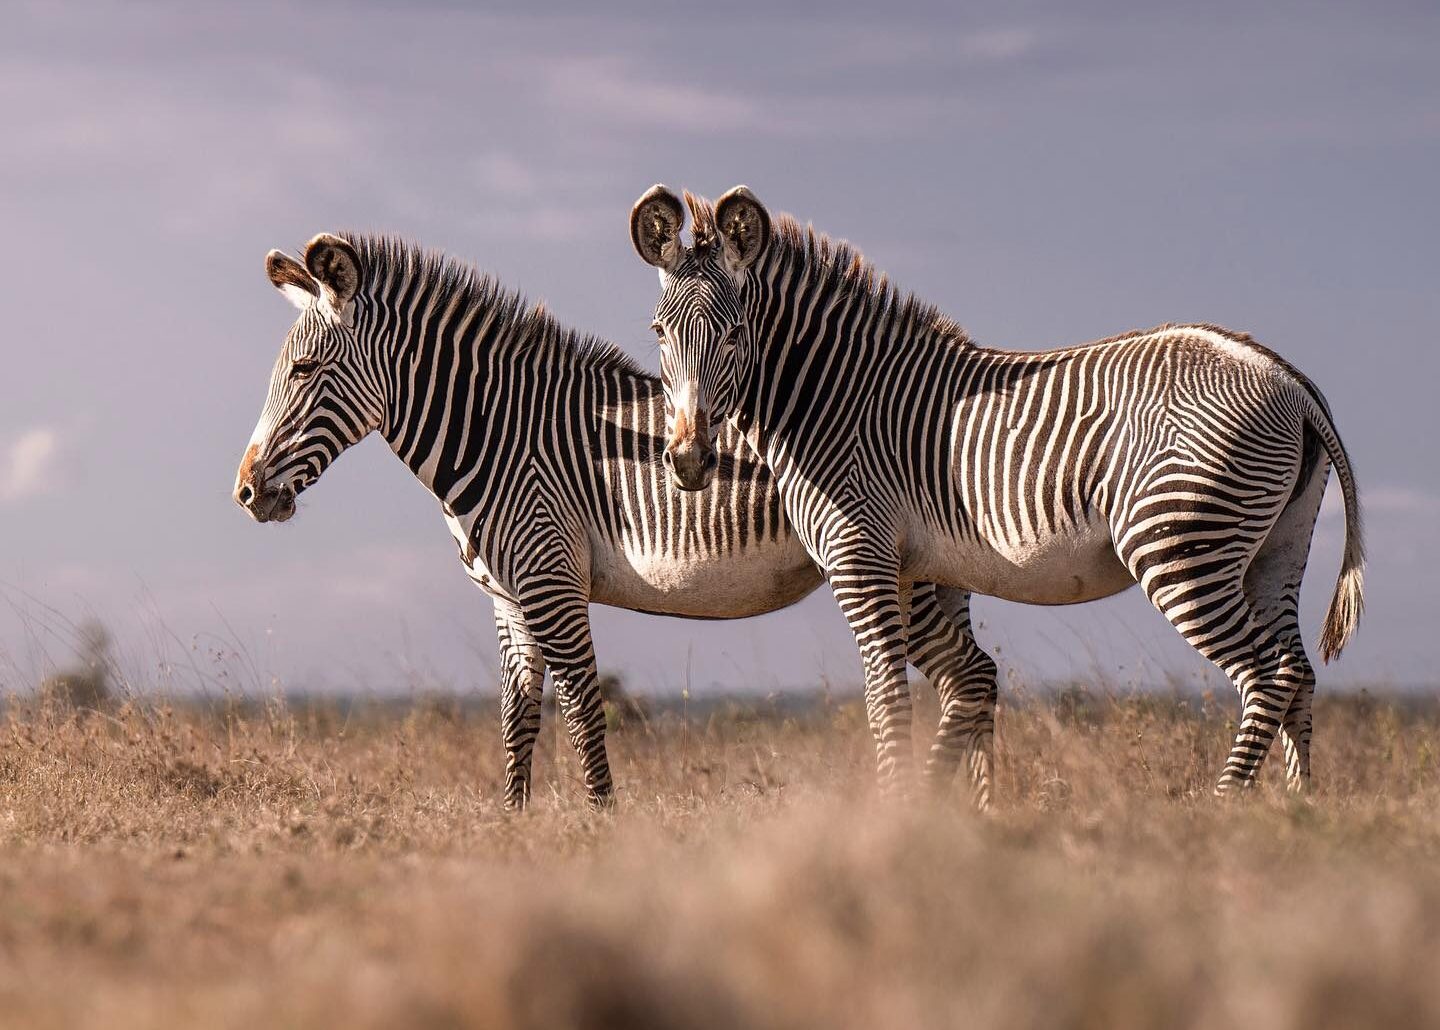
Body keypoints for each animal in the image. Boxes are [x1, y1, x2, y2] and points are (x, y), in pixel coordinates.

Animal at [234, 232, 995, 809]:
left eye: (303, 370)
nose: (244, 492)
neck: (500, 432)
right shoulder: (509, 598)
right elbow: (517, 720)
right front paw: (514, 828)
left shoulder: (551, 579)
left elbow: (582, 714)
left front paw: (602, 827)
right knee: (977, 677)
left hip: (890, 567)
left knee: (969, 678)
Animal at [631, 184, 1364, 799]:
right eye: (659, 332)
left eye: (735, 334)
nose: (689, 459)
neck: (832, 400)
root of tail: (1287, 379)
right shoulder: (914, 568)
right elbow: (950, 689)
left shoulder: (859, 556)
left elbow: (887, 700)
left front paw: (896, 812)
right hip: (1275, 549)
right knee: (1298, 671)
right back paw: (1296, 811)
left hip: (1182, 545)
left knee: (1265, 673)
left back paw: (1223, 807)